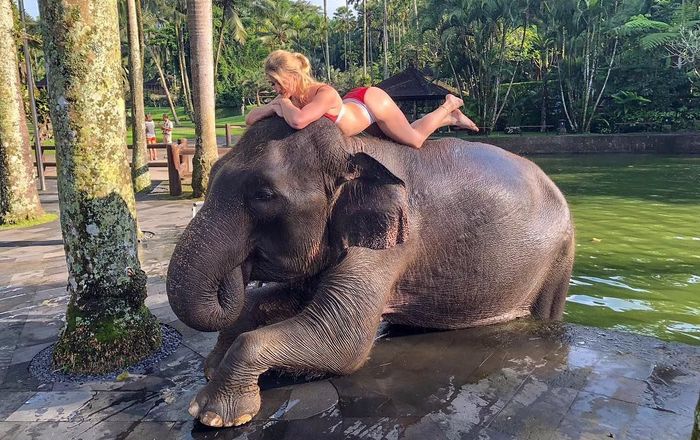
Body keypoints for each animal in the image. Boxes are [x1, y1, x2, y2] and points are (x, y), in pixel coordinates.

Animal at [166, 117, 575, 428]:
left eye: (263, 195)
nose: (238, 267)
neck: (353, 148)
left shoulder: (392, 244)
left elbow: (342, 338)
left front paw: (213, 414)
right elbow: (290, 299)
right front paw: (212, 367)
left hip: (559, 259)